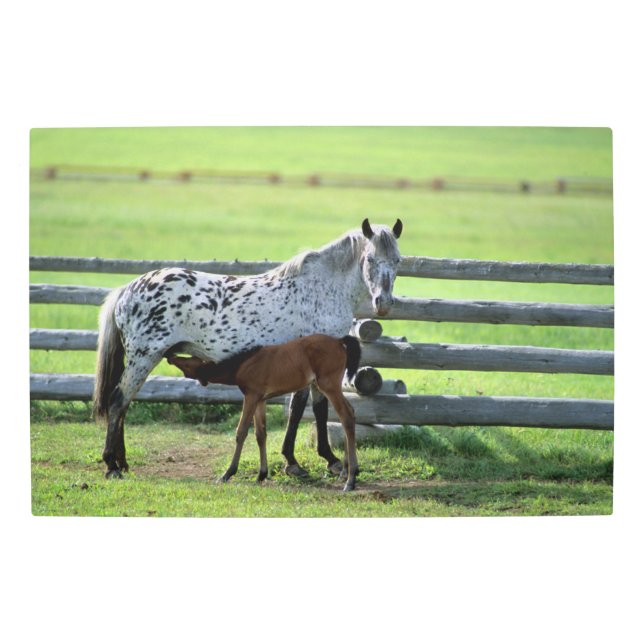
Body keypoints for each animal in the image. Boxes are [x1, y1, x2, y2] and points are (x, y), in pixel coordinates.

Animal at [167, 334, 362, 491]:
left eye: (188, 361)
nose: (170, 355)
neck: (244, 364)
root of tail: (339, 341)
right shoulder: (260, 399)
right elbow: (260, 434)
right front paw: (261, 474)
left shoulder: (251, 396)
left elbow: (241, 432)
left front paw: (227, 473)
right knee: (350, 412)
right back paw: (346, 472)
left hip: (329, 385)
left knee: (346, 415)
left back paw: (350, 479)